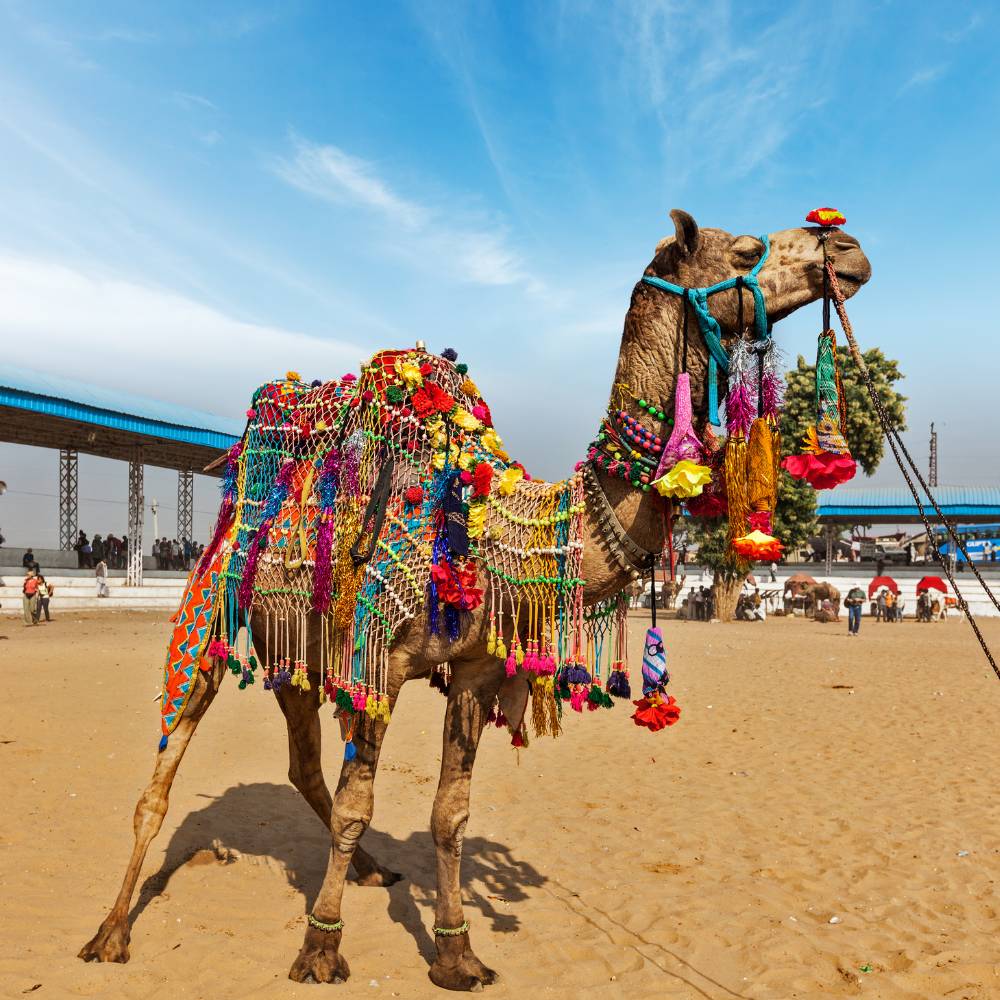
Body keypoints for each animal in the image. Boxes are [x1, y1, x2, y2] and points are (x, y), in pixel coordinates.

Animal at [80, 210, 871, 990]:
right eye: (743, 248)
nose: (846, 245)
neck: (498, 528)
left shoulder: (475, 670)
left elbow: (449, 814)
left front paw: (457, 954)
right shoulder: (382, 663)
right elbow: (359, 807)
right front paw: (320, 950)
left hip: (297, 653)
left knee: (303, 765)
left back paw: (373, 872)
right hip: (209, 612)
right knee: (166, 771)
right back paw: (111, 932)